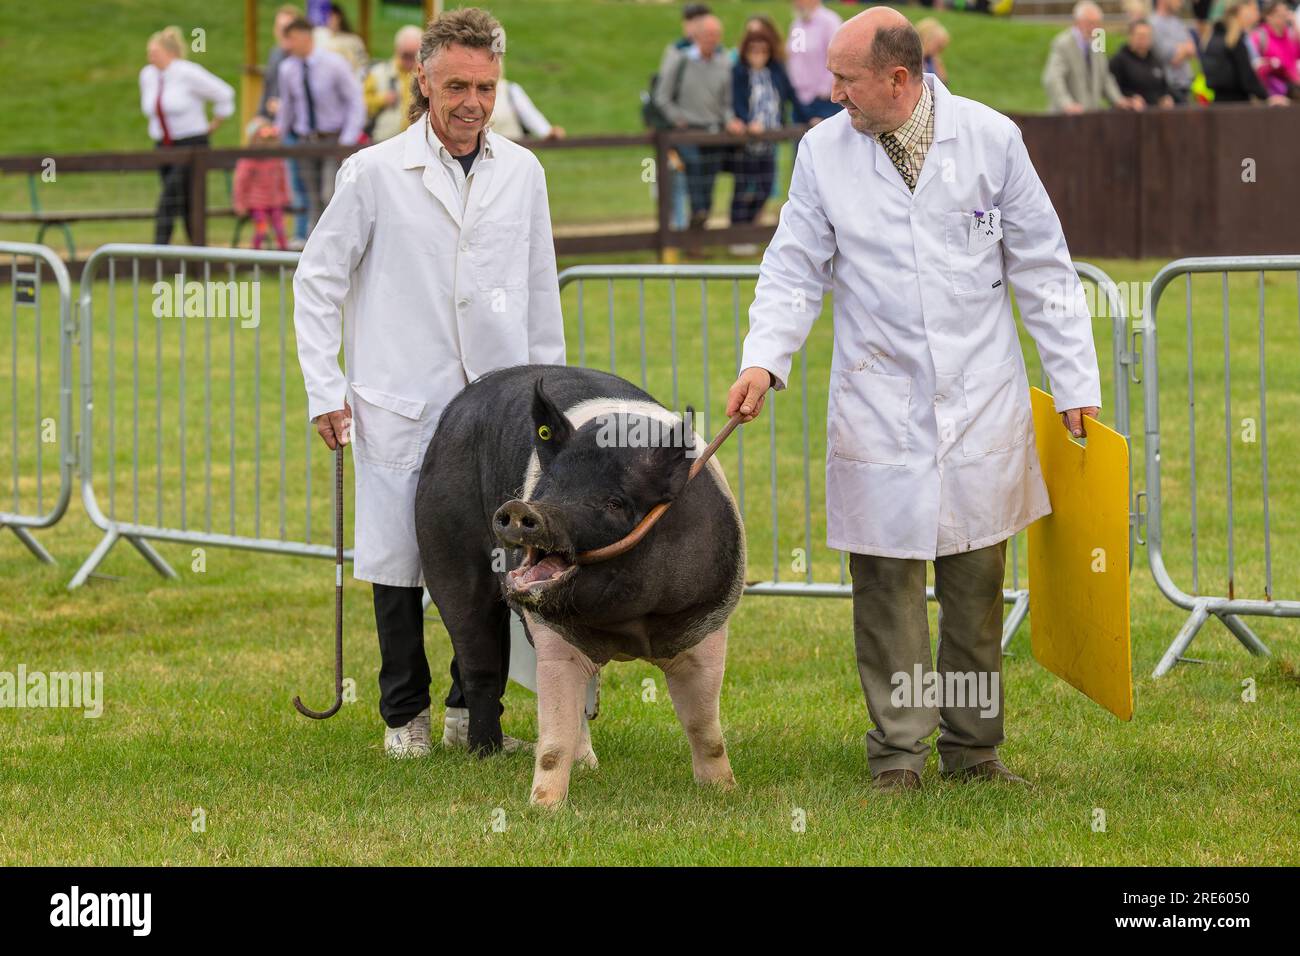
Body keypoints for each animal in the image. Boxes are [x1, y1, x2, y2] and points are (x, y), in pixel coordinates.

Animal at [410, 366, 748, 806]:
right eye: (547, 488)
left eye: (615, 503)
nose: (519, 508)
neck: (633, 622)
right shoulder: (553, 632)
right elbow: (555, 736)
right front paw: (544, 808)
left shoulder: (706, 623)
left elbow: (704, 727)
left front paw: (725, 792)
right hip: (445, 549)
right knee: (477, 659)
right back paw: (487, 754)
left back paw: (587, 764)